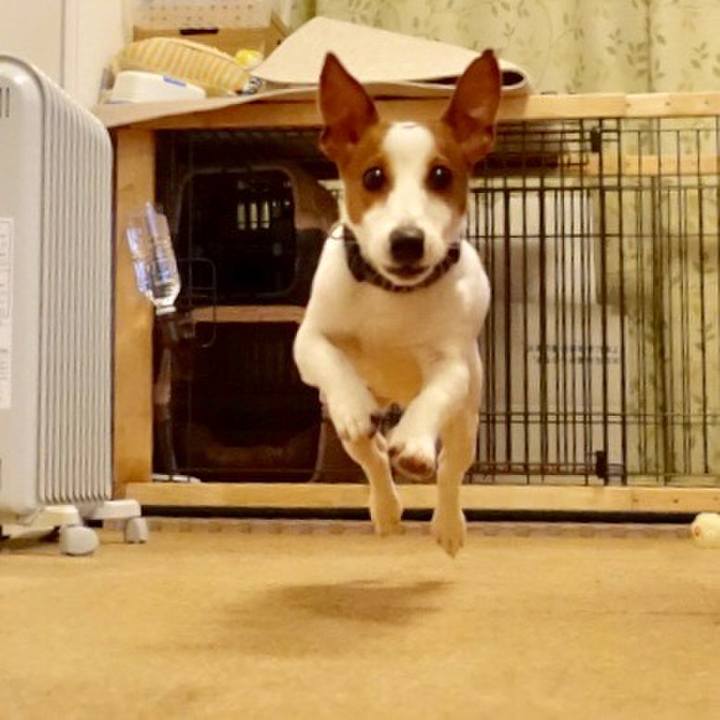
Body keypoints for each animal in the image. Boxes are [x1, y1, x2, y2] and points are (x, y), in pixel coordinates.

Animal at [293, 50, 501, 556]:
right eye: (373, 177)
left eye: (441, 175)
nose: (407, 241)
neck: (392, 294)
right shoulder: (308, 341)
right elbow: (329, 358)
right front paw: (352, 403)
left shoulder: (452, 367)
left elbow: (434, 397)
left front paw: (415, 442)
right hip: (348, 430)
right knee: (372, 457)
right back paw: (386, 509)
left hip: (467, 421)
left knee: (449, 472)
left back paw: (447, 522)